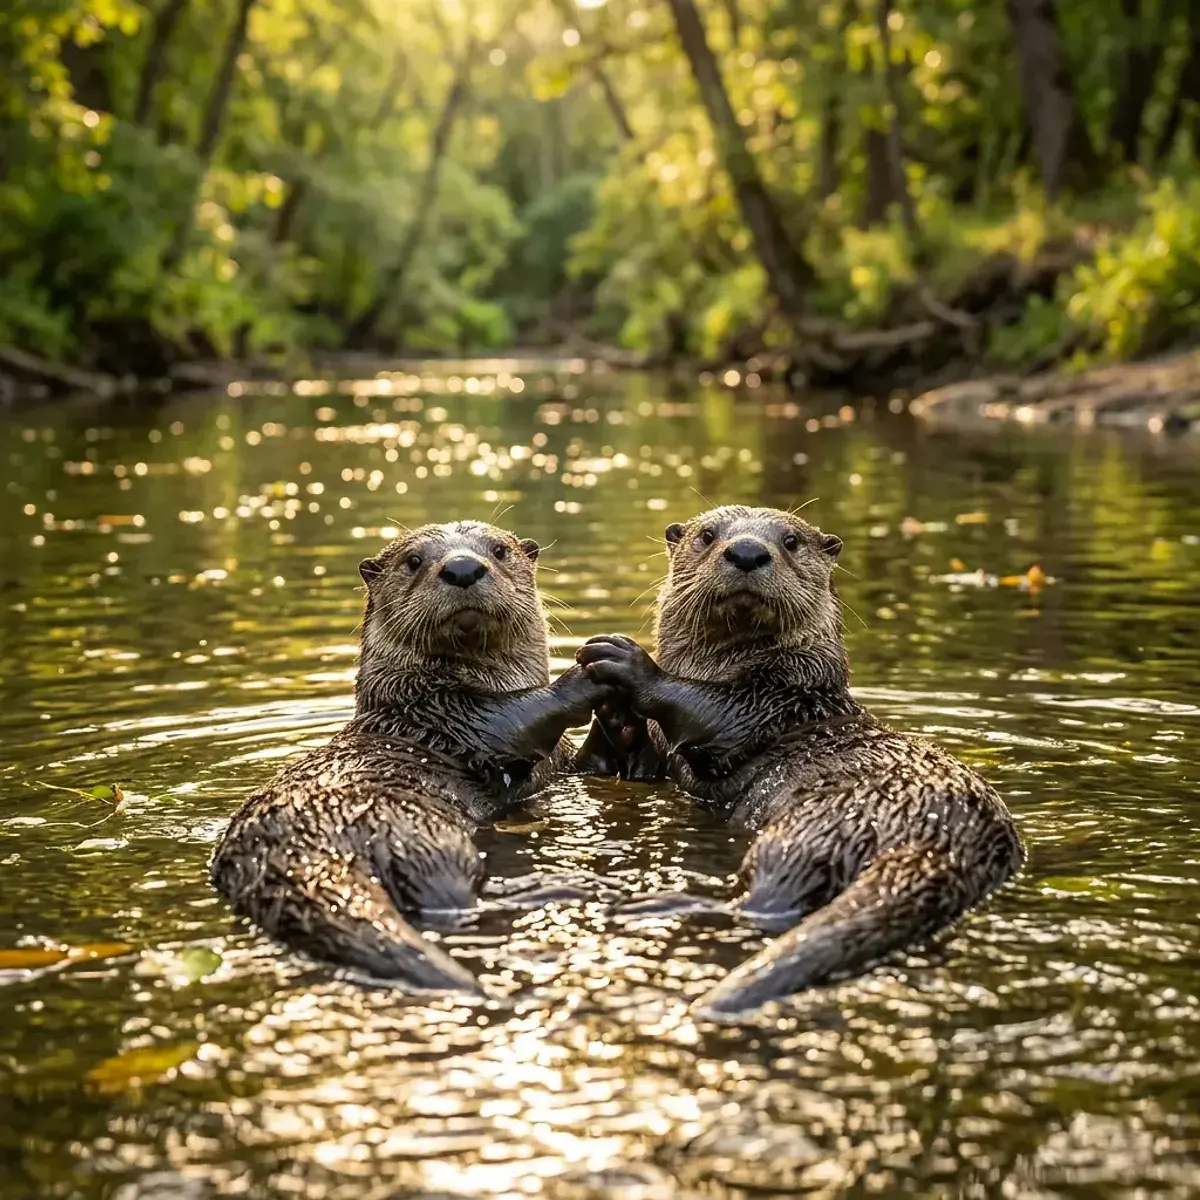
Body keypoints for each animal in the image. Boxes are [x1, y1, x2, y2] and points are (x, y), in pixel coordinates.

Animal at [211, 520, 608, 994]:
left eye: (499, 550)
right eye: (413, 560)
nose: (462, 567)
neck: (412, 699)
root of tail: (288, 851)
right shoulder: (450, 712)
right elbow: (517, 715)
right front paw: (589, 672)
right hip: (419, 839)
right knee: (449, 896)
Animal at [577, 505, 1024, 1015]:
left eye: (791, 541)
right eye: (707, 534)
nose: (747, 551)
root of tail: (946, 841)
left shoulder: (776, 701)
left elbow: (709, 711)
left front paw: (628, 661)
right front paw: (614, 710)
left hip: (812, 833)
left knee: (765, 896)